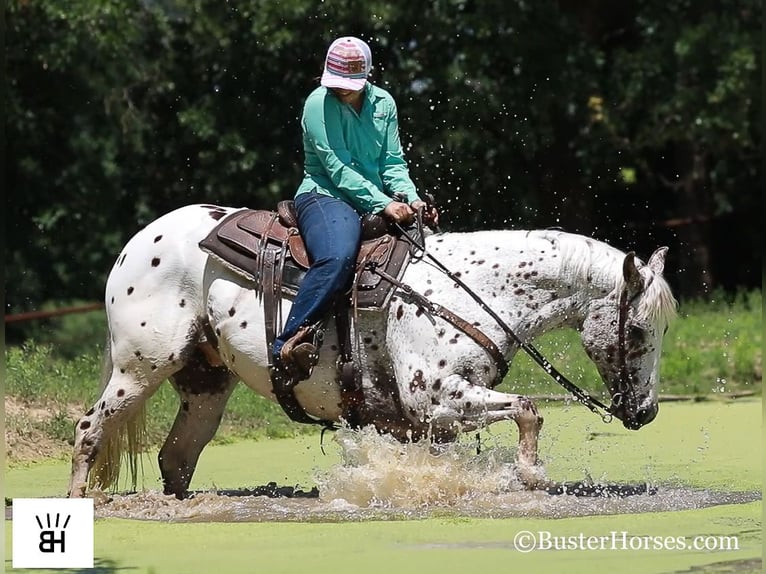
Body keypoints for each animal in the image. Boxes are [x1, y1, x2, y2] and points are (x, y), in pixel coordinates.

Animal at [66, 205, 680, 502]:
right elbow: (529, 409)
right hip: (139, 367)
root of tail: (137, 242)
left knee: (177, 457)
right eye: (636, 334)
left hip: (205, 383)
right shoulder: (437, 399)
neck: (468, 290)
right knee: (89, 430)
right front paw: (529, 475)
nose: (647, 412)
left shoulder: (430, 419)